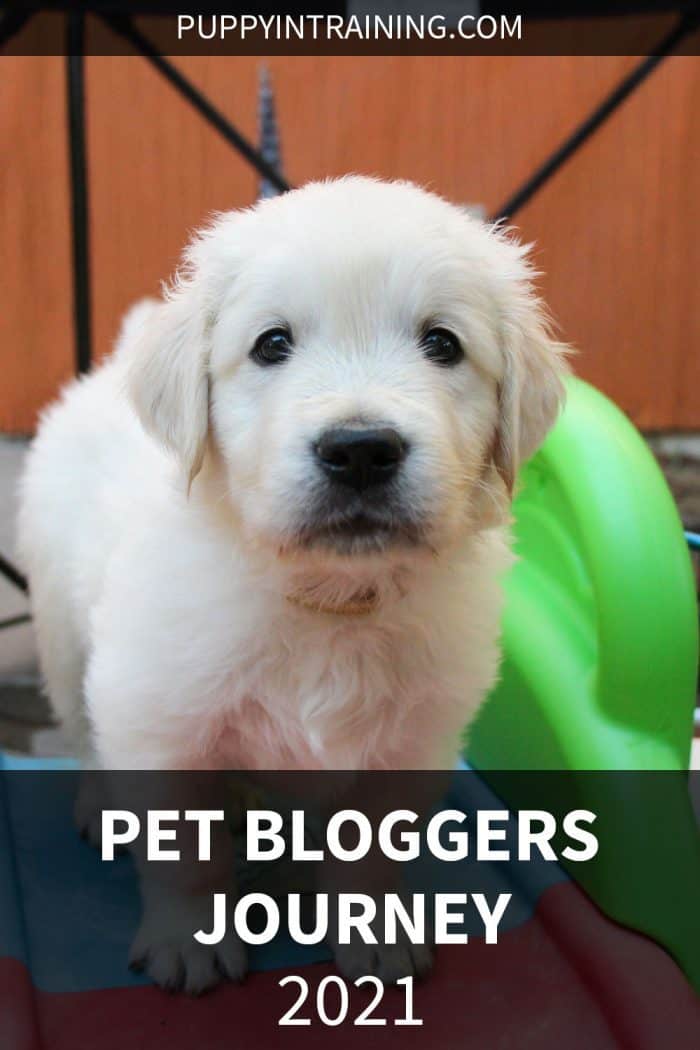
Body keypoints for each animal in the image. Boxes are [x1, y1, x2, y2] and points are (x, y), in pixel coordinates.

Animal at [17, 176, 570, 986]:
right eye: (272, 343)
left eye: (443, 343)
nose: (362, 449)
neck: (328, 598)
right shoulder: (158, 716)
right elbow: (186, 854)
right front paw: (190, 939)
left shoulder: (413, 739)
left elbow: (370, 851)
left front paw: (373, 931)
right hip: (62, 628)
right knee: (82, 726)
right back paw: (97, 802)